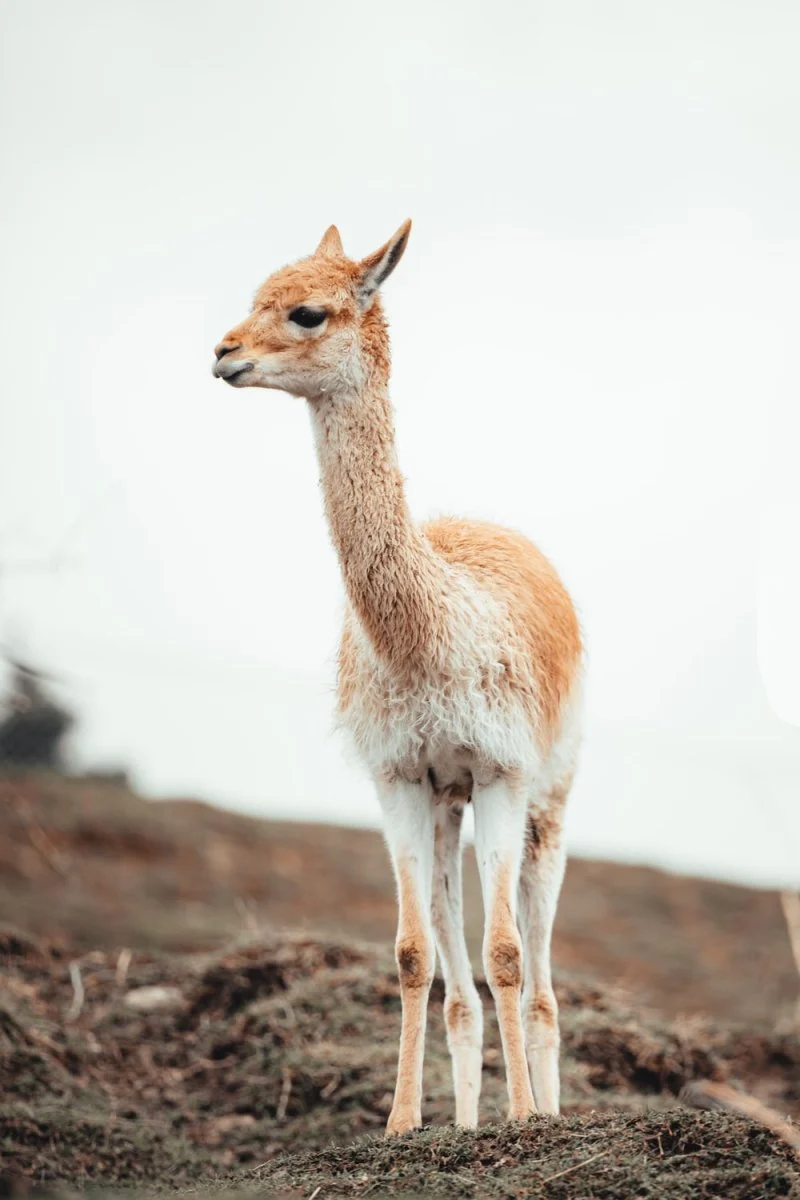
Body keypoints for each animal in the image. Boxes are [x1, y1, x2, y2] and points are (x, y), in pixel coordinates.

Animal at [212, 221, 583, 1135]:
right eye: (255, 294)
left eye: (306, 312)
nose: (224, 352)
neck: (430, 636)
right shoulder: (400, 777)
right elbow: (417, 956)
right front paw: (403, 1124)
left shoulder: (502, 771)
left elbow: (505, 953)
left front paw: (523, 1120)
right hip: (450, 805)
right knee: (459, 985)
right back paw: (466, 1120)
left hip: (549, 801)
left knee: (540, 973)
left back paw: (547, 1110)